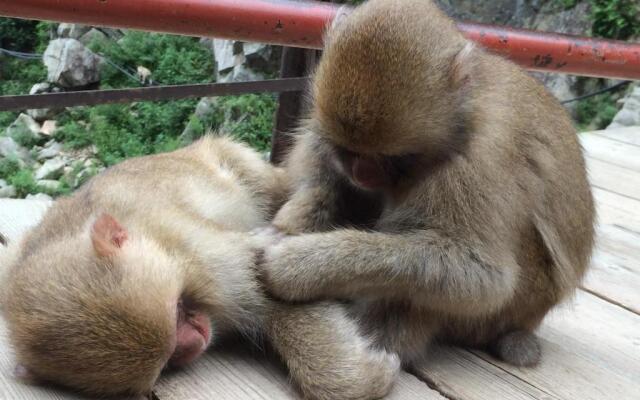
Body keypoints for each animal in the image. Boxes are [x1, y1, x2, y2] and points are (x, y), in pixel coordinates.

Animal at [0, 136, 400, 398]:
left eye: (179, 309)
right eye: (167, 363)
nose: (195, 343)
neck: (161, 246)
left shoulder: (203, 256)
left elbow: (273, 286)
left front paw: (360, 378)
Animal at [258, 0, 596, 368]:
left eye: (392, 157)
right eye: (350, 151)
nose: (361, 173)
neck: (462, 118)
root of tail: (529, 321)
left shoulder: (480, 160)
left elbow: (481, 276)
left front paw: (299, 266)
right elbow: (321, 164)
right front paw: (292, 222)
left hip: (509, 310)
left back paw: (385, 338)